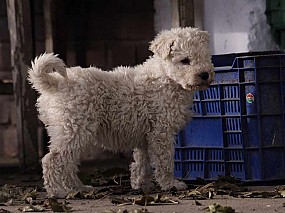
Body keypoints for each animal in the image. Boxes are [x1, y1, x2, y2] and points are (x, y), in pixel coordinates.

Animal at [27, 27, 213, 198]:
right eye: (185, 60)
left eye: (205, 56)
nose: (205, 74)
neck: (167, 77)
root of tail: (56, 83)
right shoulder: (161, 132)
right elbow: (164, 160)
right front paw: (170, 184)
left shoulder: (146, 135)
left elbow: (141, 162)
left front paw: (140, 185)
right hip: (73, 128)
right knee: (52, 160)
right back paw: (57, 191)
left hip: (73, 132)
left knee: (68, 164)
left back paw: (80, 188)